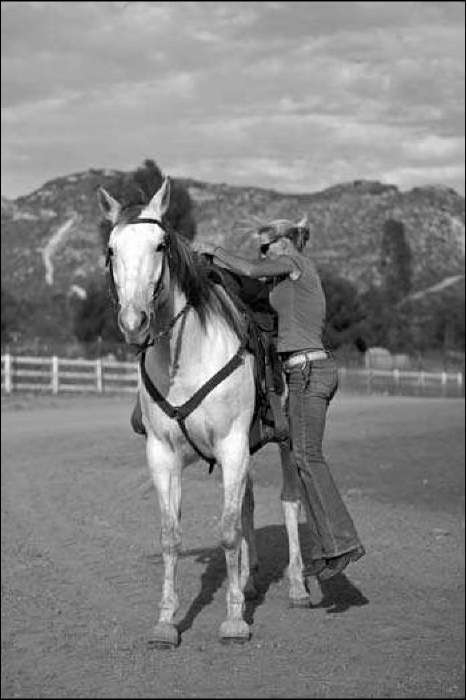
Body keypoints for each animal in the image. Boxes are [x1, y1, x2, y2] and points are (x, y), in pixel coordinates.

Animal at [97, 177, 311, 648]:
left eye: (160, 244)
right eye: (111, 249)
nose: (134, 322)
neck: (186, 358)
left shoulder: (231, 445)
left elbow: (228, 531)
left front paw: (233, 621)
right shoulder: (163, 453)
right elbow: (170, 536)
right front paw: (166, 623)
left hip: (285, 441)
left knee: (289, 503)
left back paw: (298, 588)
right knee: (247, 504)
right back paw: (248, 582)